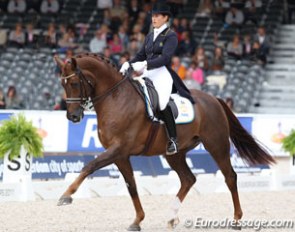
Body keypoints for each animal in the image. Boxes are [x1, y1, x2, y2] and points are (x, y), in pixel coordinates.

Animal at [53, 53, 276, 231]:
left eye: (74, 84)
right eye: (63, 84)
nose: (73, 117)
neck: (116, 98)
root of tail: (214, 99)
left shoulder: (118, 149)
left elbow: (89, 166)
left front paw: (66, 196)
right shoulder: (120, 155)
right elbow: (131, 185)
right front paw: (137, 221)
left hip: (217, 144)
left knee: (230, 177)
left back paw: (236, 220)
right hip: (175, 154)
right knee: (188, 179)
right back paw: (171, 217)